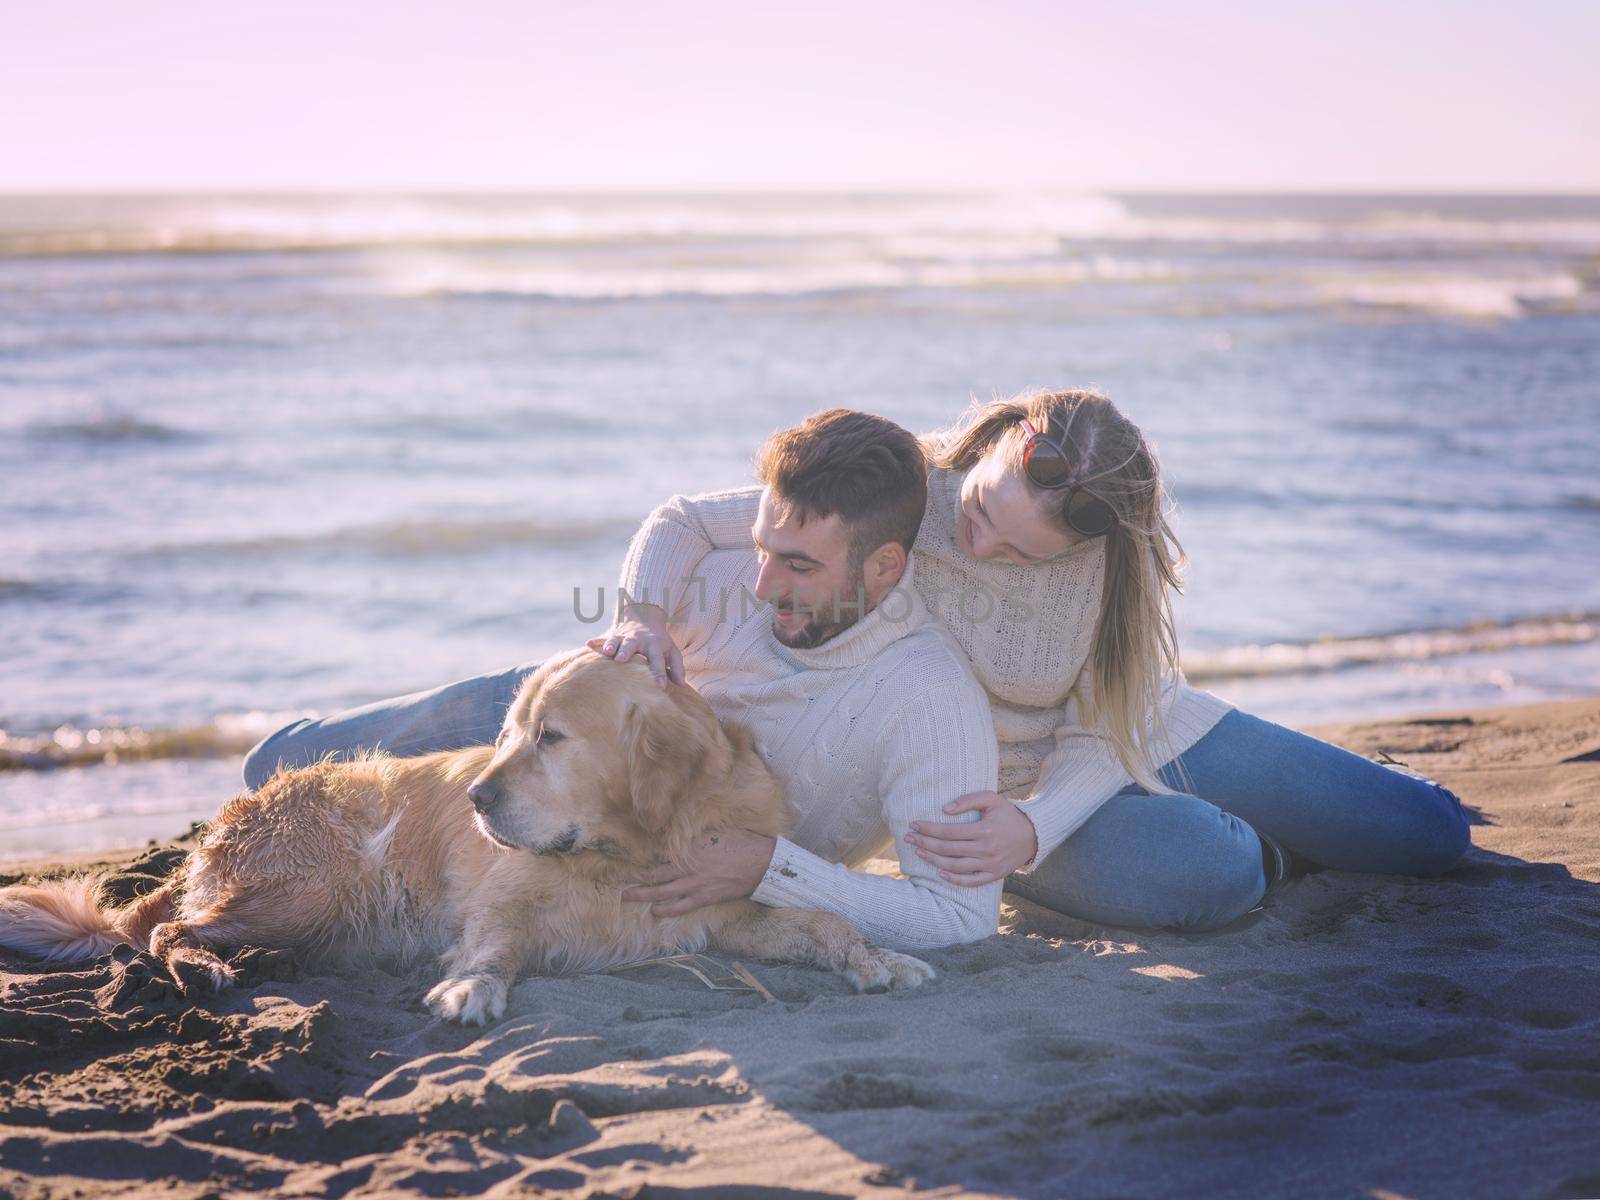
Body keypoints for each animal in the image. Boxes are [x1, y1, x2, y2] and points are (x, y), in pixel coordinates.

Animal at [0, 652, 934, 1030]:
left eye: (551, 738)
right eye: (509, 732)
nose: (479, 797)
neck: (628, 850)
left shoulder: (719, 909)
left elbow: (824, 924)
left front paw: (880, 959)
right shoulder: (503, 898)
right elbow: (493, 945)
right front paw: (470, 990)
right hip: (317, 883)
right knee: (162, 929)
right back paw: (206, 966)